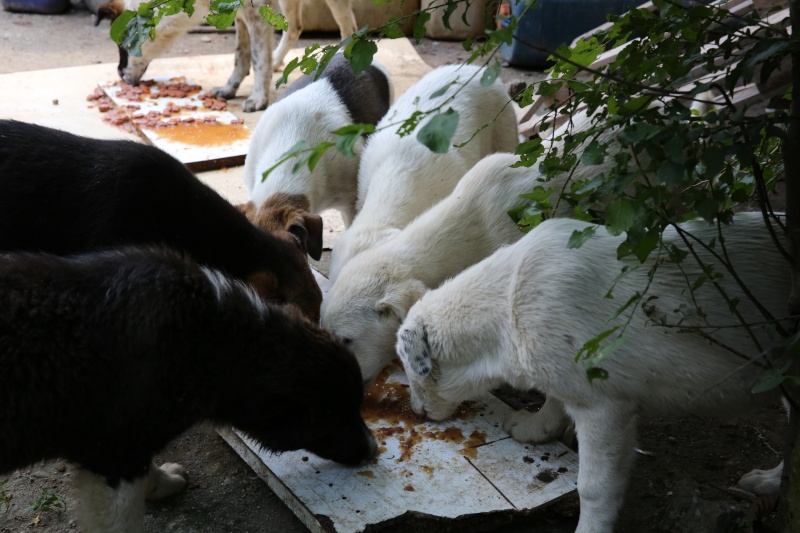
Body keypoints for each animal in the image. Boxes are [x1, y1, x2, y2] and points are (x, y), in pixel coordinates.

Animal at [97, 0, 356, 111]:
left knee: (349, 27)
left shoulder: (255, 13)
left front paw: (259, 98)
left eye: (123, 46)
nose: (119, 74)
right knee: (295, 27)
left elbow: (257, 59)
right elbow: (241, 56)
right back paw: (278, 60)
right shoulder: (237, 12)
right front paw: (229, 88)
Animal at [394, 213, 788, 532]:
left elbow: (593, 489)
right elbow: (553, 400)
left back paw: (771, 482)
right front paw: (537, 427)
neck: (505, 310)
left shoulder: (604, 411)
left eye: (412, 373)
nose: (416, 413)